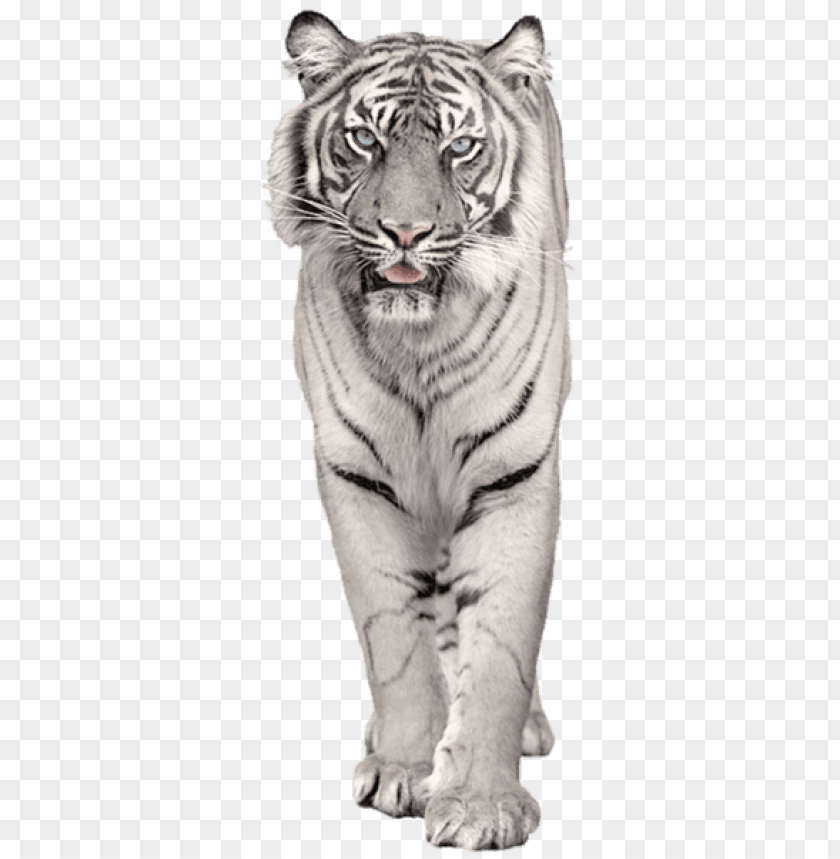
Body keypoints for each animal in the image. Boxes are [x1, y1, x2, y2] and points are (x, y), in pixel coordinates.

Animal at [268, 10, 571, 850]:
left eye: (458, 147)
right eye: (364, 139)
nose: (404, 231)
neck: (420, 342)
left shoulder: (514, 474)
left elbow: (500, 643)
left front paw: (481, 805)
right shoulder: (357, 478)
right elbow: (394, 635)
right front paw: (406, 768)